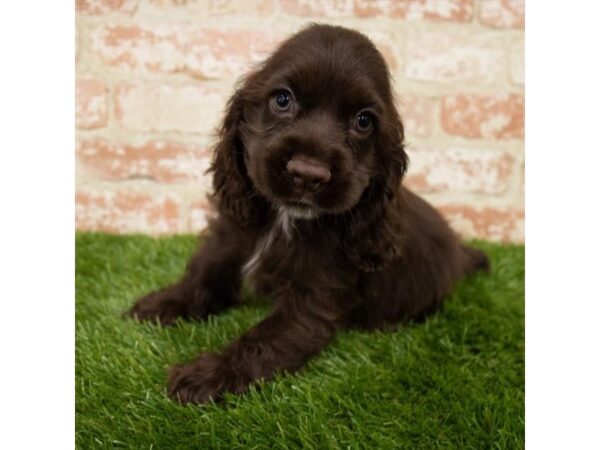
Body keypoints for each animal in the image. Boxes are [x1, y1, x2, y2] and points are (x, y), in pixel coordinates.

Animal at [126, 23, 488, 404]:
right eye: (282, 100)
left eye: (363, 121)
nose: (308, 173)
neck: (286, 219)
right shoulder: (234, 232)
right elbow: (205, 272)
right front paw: (161, 304)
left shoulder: (315, 298)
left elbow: (262, 340)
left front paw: (206, 376)